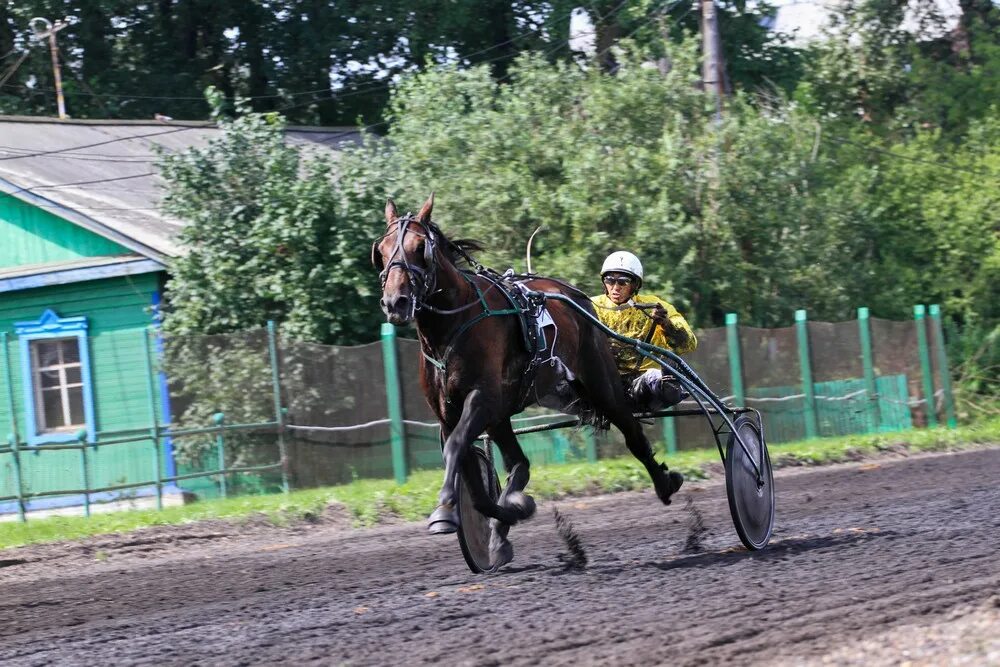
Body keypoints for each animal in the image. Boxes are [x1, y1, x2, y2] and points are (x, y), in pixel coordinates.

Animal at [372, 194, 684, 568]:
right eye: (382, 249)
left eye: (420, 247)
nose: (395, 302)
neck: (453, 328)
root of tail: (577, 298)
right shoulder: (449, 412)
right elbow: (470, 476)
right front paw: (507, 514)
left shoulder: (482, 399)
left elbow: (457, 446)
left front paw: (445, 509)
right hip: (504, 413)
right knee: (520, 463)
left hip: (600, 382)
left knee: (633, 434)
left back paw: (666, 483)